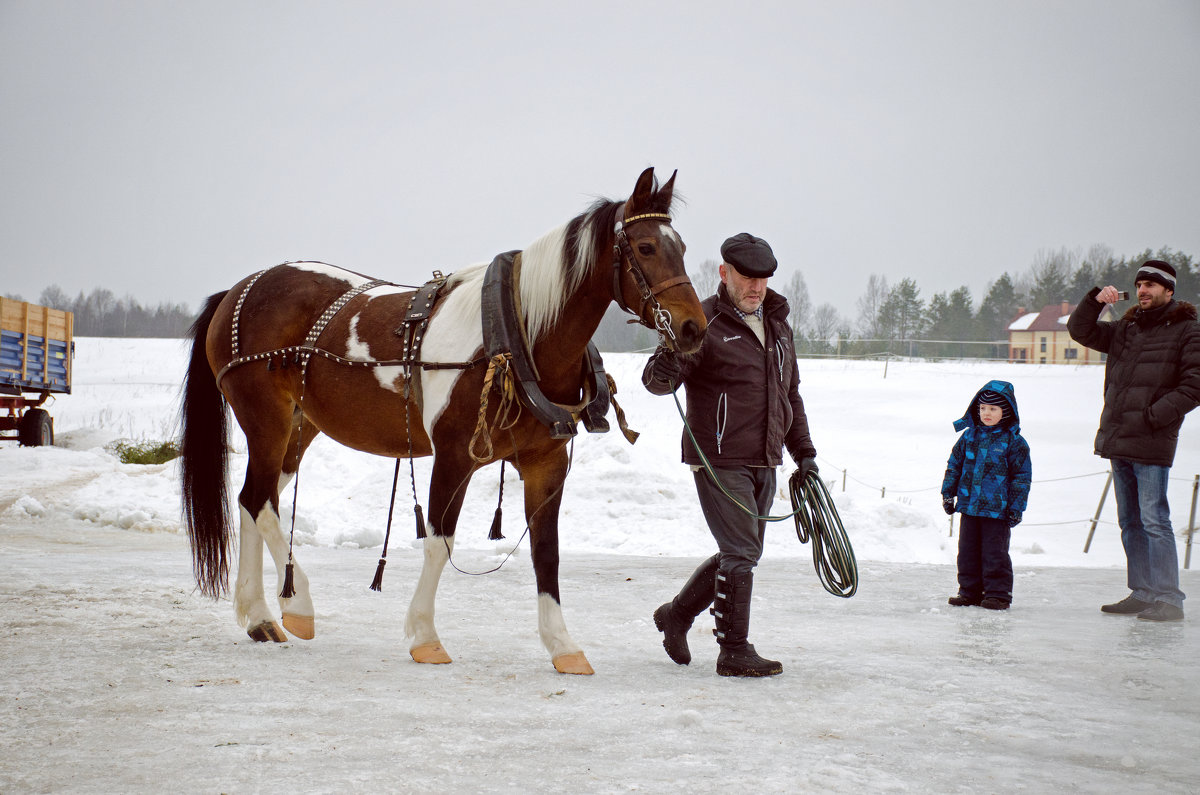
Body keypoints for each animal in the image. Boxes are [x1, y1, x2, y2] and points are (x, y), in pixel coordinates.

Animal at [181, 166, 705, 672]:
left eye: (681, 247)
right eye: (645, 247)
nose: (693, 328)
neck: (516, 336)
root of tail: (239, 290)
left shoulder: (545, 463)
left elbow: (546, 552)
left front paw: (563, 645)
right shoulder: (454, 454)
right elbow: (439, 540)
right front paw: (424, 636)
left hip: (297, 427)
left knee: (252, 499)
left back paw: (258, 616)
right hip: (265, 418)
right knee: (260, 503)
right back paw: (297, 606)